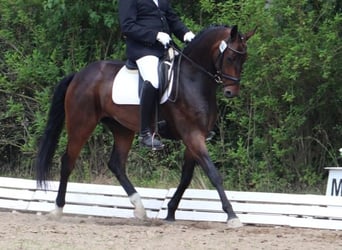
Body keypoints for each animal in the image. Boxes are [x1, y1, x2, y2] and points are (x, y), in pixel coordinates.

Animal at [36, 24, 255, 227]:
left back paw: (140, 209)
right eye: (230, 58)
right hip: (81, 124)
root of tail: (79, 75)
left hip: (122, 129)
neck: (193, 79)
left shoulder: (196, 137)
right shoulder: (192, 135)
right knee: (68, 161)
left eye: (244, 59)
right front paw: (232, 216)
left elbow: (186, 177)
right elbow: (214, 174)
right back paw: (57, 209)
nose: (231, 92)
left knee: (116, 164)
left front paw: (170, 212)